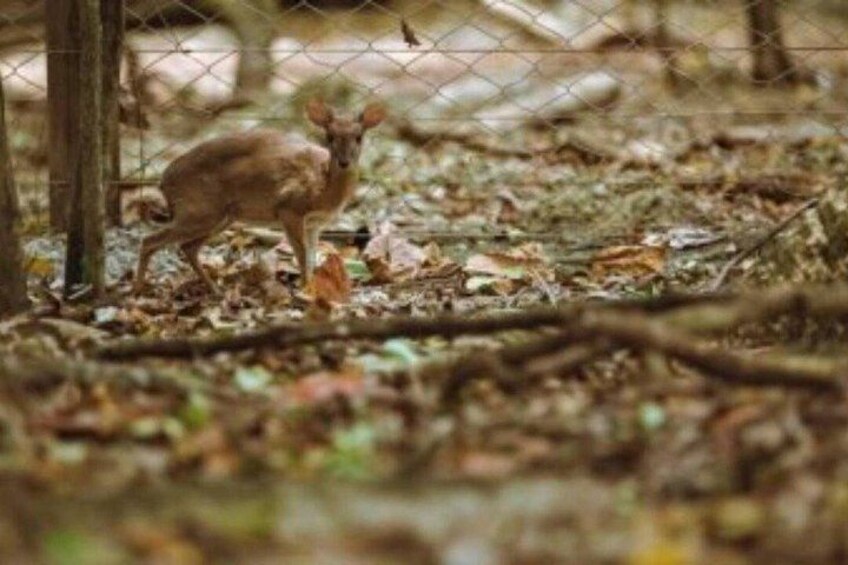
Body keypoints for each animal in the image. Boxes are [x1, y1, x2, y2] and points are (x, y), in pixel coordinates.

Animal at [133, 98, 386, 295]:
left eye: (359, 137)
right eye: (330, 136)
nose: (344, 162)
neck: (322, 189)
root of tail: (164, 181)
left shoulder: (315, 224)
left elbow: (312, 256)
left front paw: (313, 288)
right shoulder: (289, 209)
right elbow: (302, 254)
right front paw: (306, 290)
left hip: (219, 217)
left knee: (187, 247)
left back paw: (214, 290)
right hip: (199, 211)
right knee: (150, 240)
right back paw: (137, 290)